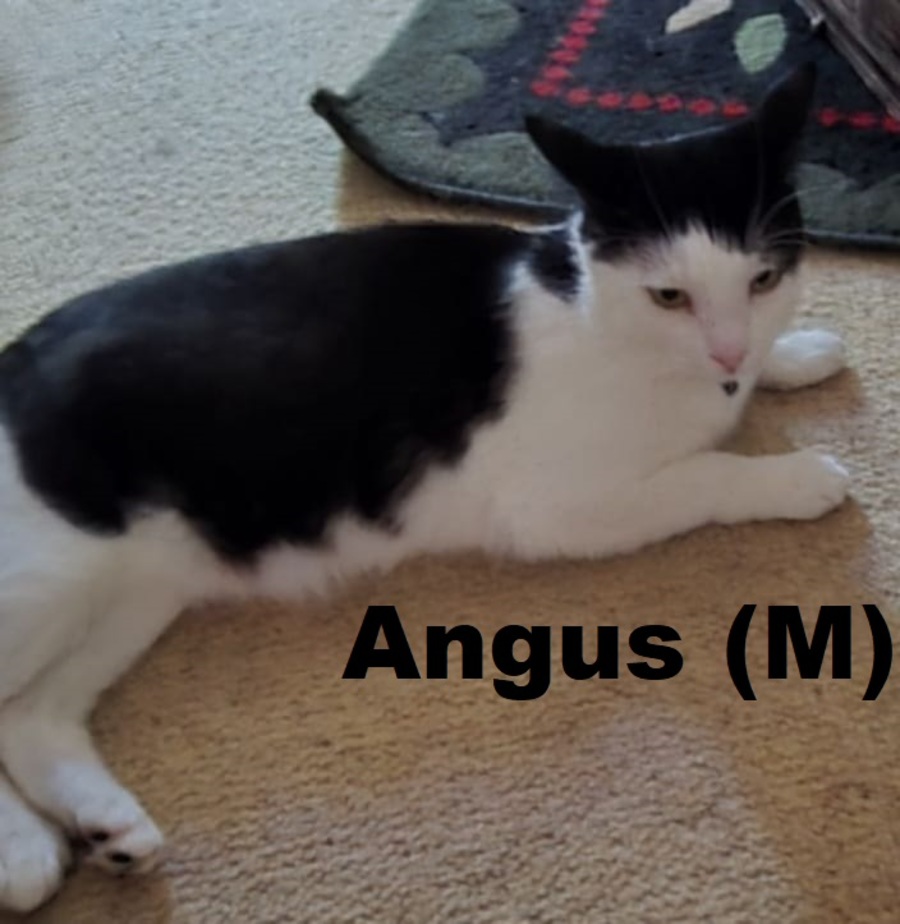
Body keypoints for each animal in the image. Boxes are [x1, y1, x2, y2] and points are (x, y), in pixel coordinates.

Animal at [0, 63, 849, 912]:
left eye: (762, 280)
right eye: (669, 296)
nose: (728, 352)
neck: (595, 313)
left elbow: (752, 381)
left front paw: (795, 353)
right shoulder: (555, 508)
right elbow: (706, 473)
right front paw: (797, 474)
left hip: (139, 589)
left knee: (27, 716)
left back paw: (103, 829)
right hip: (52, 579)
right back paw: (23, 854)